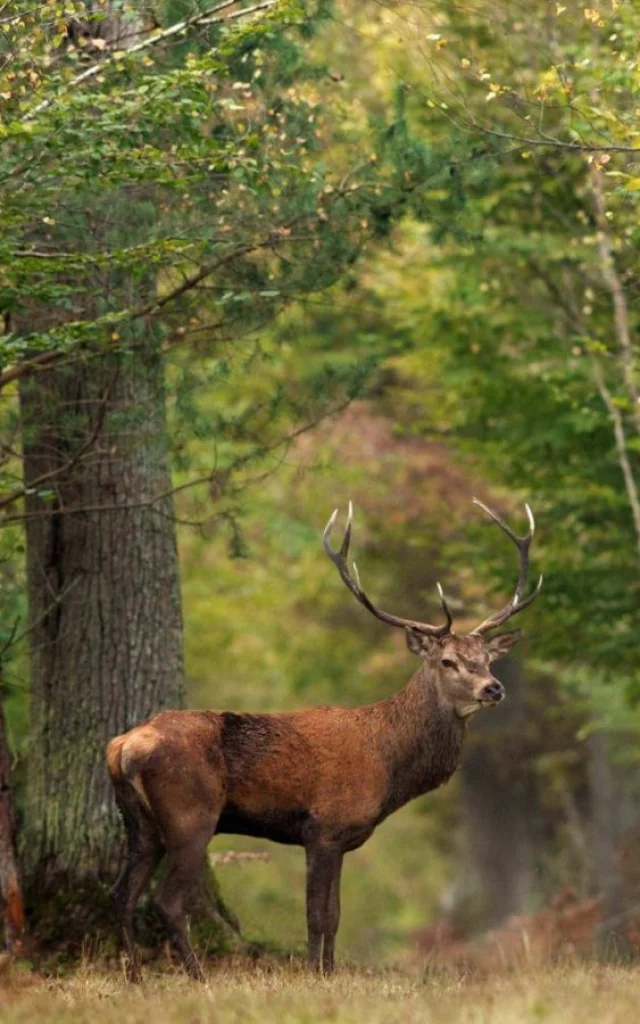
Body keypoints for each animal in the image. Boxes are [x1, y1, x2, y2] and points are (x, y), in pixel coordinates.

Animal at [106, 497, 542, 982]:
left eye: (487, 659)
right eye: (448, 661)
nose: (494, 688)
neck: (388, 764)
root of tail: (123, 747)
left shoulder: (342, 837)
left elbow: (334, 915)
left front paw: (328, 972)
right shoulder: (324, 827)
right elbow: (317, 916)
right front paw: (314, 974)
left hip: (140, 823)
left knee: (121, 895)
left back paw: (134, 976)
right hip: (190, 814)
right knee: (167, 900)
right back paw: (197, 976)